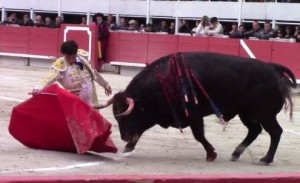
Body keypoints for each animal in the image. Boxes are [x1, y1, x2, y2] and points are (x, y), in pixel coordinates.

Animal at [99, 51, 296, 164]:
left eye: (127, 116)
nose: (124, 138)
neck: (163, 82)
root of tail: (273, 68)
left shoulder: (194, 115)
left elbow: (199, 135)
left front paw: (211, 154)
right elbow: (141, 131)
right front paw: (129, 147)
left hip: (265, 114)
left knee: (275, 132)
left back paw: (266, 159)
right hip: (246, 113)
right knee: (255, 130)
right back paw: (236, 153)